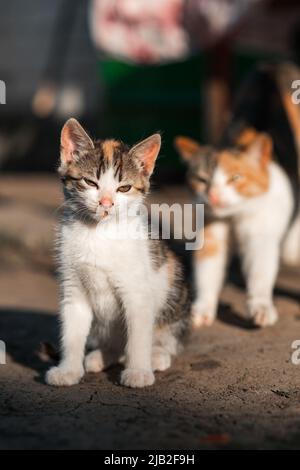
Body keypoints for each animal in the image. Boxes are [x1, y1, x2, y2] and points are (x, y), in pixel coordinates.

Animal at [45, 118, 191, 390]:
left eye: (124, 188)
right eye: (90, 183)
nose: (105, 203)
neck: (98, 233)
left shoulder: (138, 292)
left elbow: (138, 335)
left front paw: (138, 372)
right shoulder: (73, 286)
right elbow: (72, 331)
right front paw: (68, 370)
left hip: (174, 286)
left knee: (166, 338)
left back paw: (156, 355)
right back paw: (101, 356)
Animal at [175, 129, 296, 326]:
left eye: (235, 178)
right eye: (202, 179)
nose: (213, 195)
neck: (234, 217)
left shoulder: (260, 236)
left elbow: (260, 271)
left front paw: (261, 305)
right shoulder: (212, 234)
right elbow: (207, 268)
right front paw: (203, 306)